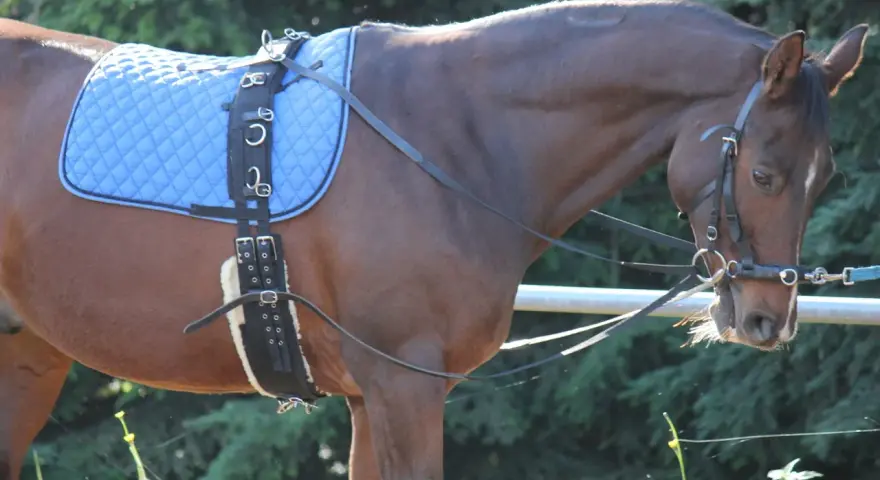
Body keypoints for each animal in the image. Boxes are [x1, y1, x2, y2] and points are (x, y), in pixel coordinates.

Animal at [0, 0, 869, 478]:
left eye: (823, 175)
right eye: (764, 173)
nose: (767, 319)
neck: (449, 136)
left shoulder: (373, 400)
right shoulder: (403, 388)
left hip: (27, 359)